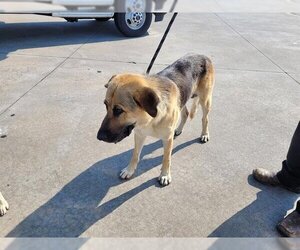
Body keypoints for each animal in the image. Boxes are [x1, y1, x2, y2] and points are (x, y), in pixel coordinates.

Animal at [97, 53, 214, 186]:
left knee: (205, 119)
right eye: (106, 105)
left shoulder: (167, 139)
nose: (99, 137)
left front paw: (165, 175)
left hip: (205, 100)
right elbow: (135, 154)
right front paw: (129, 170)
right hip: (183, 100)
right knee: (185, 113)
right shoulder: (139, 134)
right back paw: (178, 129)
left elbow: (166, 158)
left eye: (118, 110)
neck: (150, 119)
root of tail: (202, 55)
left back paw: (204, 134)